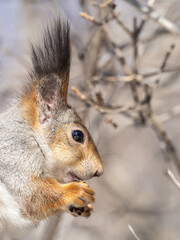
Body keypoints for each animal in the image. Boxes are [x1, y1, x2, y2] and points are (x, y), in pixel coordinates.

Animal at [0, 15, 103, 237]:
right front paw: (74, 192)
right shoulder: (13, 158)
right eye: (77, 135)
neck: (32, 136)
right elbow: (29, 194)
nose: (99, 171)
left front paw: (82, 207)